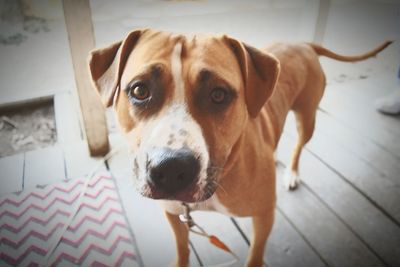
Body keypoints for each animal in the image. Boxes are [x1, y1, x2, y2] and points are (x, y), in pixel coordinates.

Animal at [87, 28, 390, 266]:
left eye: (219, 95)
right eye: (139, 90)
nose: (172, 168)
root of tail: (303, 43)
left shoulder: (264, 215)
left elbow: (255, 255)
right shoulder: (173, 214)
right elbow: (182, 248)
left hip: (307, 118)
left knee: (299, 145)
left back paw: (291, 172)